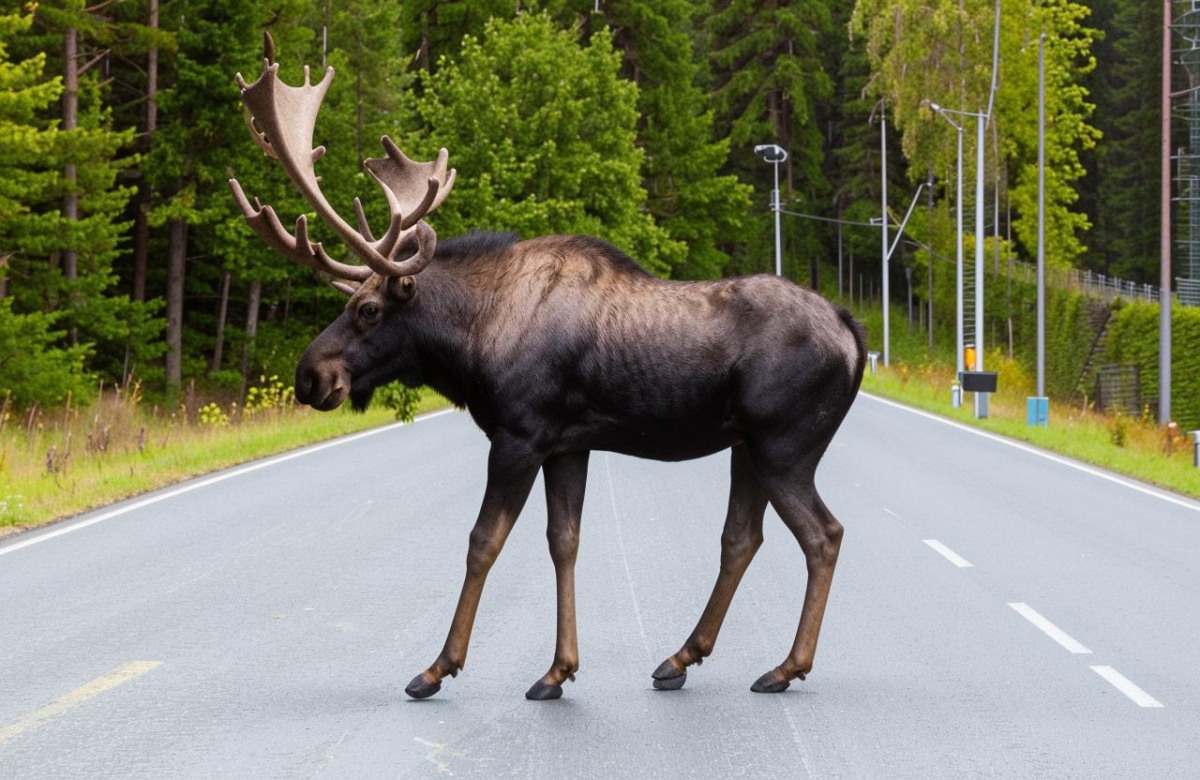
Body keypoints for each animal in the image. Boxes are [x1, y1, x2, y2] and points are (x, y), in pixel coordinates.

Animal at [229, 42, 864, 700]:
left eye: (368, 309)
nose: (310, 376)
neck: (472, 340)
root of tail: (851, 331)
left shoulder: (519, 436)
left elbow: (483, 543)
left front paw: (439, 666)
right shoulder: (567, 444)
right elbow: (565, 543)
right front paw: (559, 668)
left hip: (784, 445)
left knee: (824, 534)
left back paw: (786, 666)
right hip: (747, 444)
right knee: (741, 537)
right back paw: (681, 657)